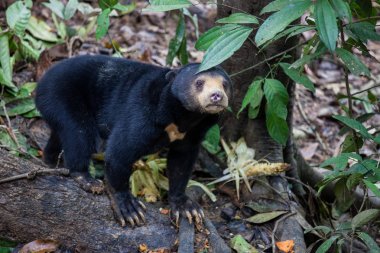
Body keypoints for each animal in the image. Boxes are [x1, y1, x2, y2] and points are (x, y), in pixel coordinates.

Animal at [36, 54, 232, 225]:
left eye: (225, 85)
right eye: (199, 83)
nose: (217, 96)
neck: (185, 116)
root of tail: (42, 80)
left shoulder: (193, 132)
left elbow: (182, 160)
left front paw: (186, 207)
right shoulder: (146, 113)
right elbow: (121, 150)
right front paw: (129, 208)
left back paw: (50, 160)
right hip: (62, 96)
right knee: (79, 133)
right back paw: (86, 178)